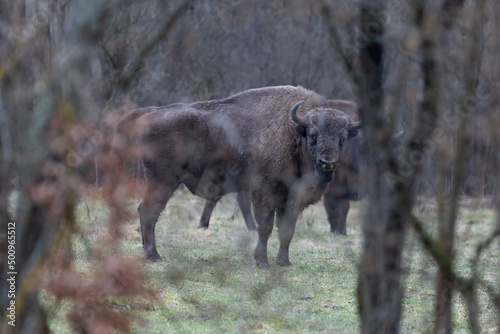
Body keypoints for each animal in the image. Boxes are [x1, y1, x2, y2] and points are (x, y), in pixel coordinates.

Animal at [117, 85, 360, 266]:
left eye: (342, 138)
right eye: (313, 135)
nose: (327, 163)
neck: (293, 132)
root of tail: (151, 112)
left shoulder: (291, 200)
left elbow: (287, 230)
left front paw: (284, 262)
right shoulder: (265, 192)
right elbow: (266, 226)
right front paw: (262, 262)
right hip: (163, 181)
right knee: (148, 212)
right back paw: (154, 257)